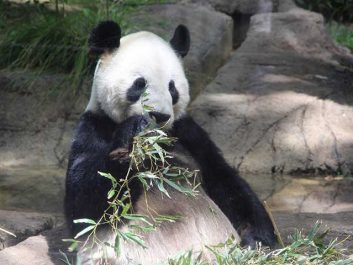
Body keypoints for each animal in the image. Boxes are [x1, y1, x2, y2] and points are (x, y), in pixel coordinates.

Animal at [64, 21, 276, 264]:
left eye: (172, 87)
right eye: (139, 84)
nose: (160, 116)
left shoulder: (188, 133)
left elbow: (226, 181)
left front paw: (259, 242)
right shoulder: (94, 126)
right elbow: (86, 208)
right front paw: (132, 136)